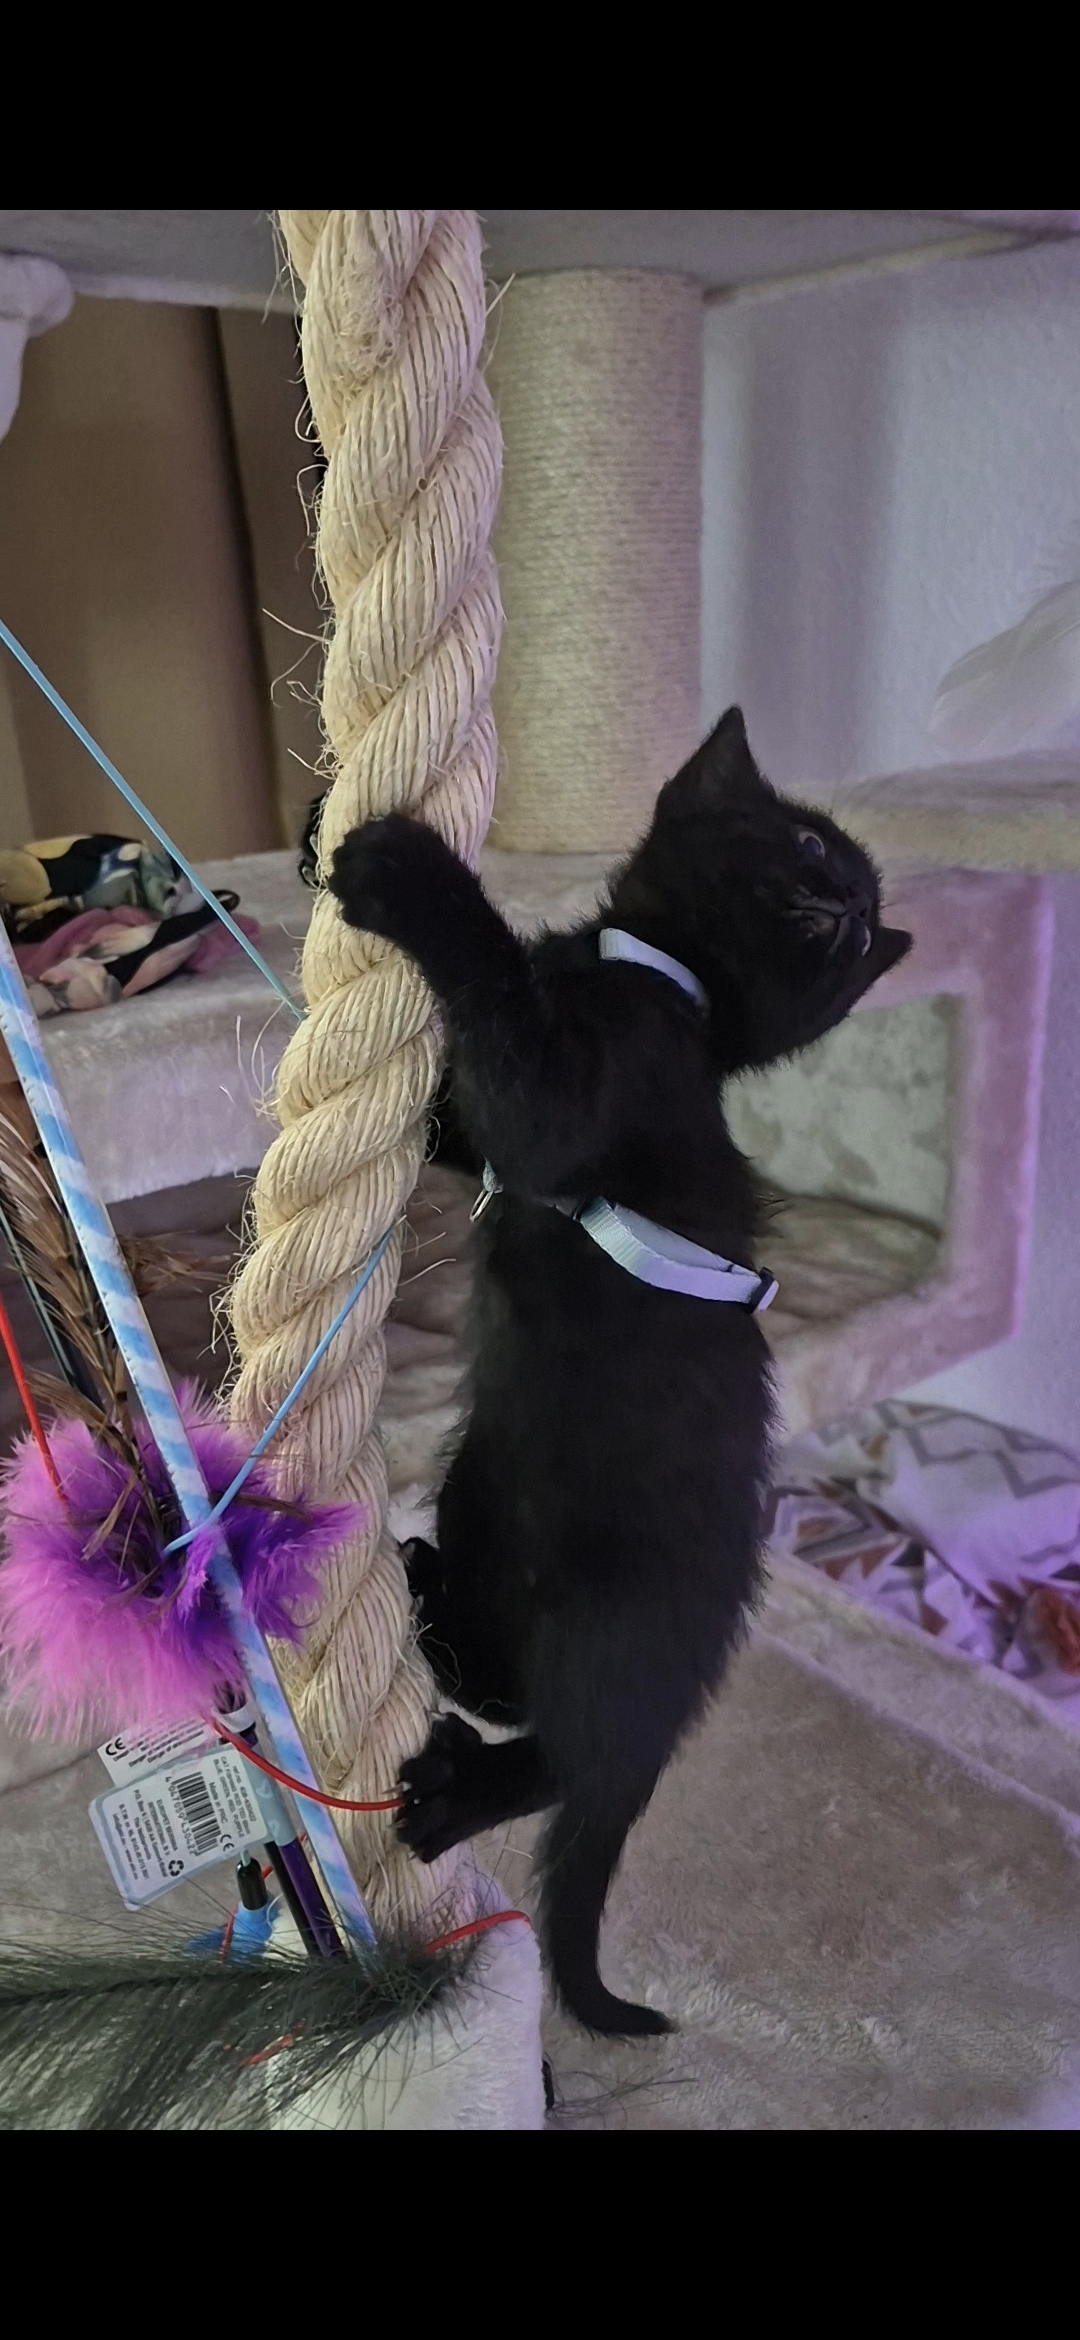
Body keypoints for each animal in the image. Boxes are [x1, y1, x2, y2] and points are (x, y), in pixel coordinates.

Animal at [328, 708, 912, 2036]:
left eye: (857, 916)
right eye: (811, 846)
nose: (850, 904)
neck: (661, 978)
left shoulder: (580, 1094)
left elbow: (511, 1036)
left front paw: (407, 878)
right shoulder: (478, 1117)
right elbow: (456, 1107)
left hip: (609, 1612)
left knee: (570, 1759)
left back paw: (455, 1790)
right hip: (487, 1494)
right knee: (512, 1686)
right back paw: (425, 1606)